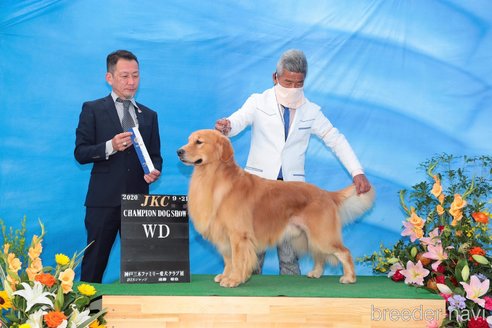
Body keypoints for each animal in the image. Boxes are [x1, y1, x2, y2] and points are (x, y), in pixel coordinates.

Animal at [179, 129, 374, 288]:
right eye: (188, 140)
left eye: (199, 141)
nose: (179, 151)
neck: (214, 177)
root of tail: (326, 193)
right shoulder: (224, 234)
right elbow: (229, 259)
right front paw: (226, 276)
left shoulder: (239, 234)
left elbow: (238, 259)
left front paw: (234, 279)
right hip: (310, 236)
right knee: (320, 255)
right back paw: (316, 273)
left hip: (323, 235)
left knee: (344, 252)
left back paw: (349, 277)